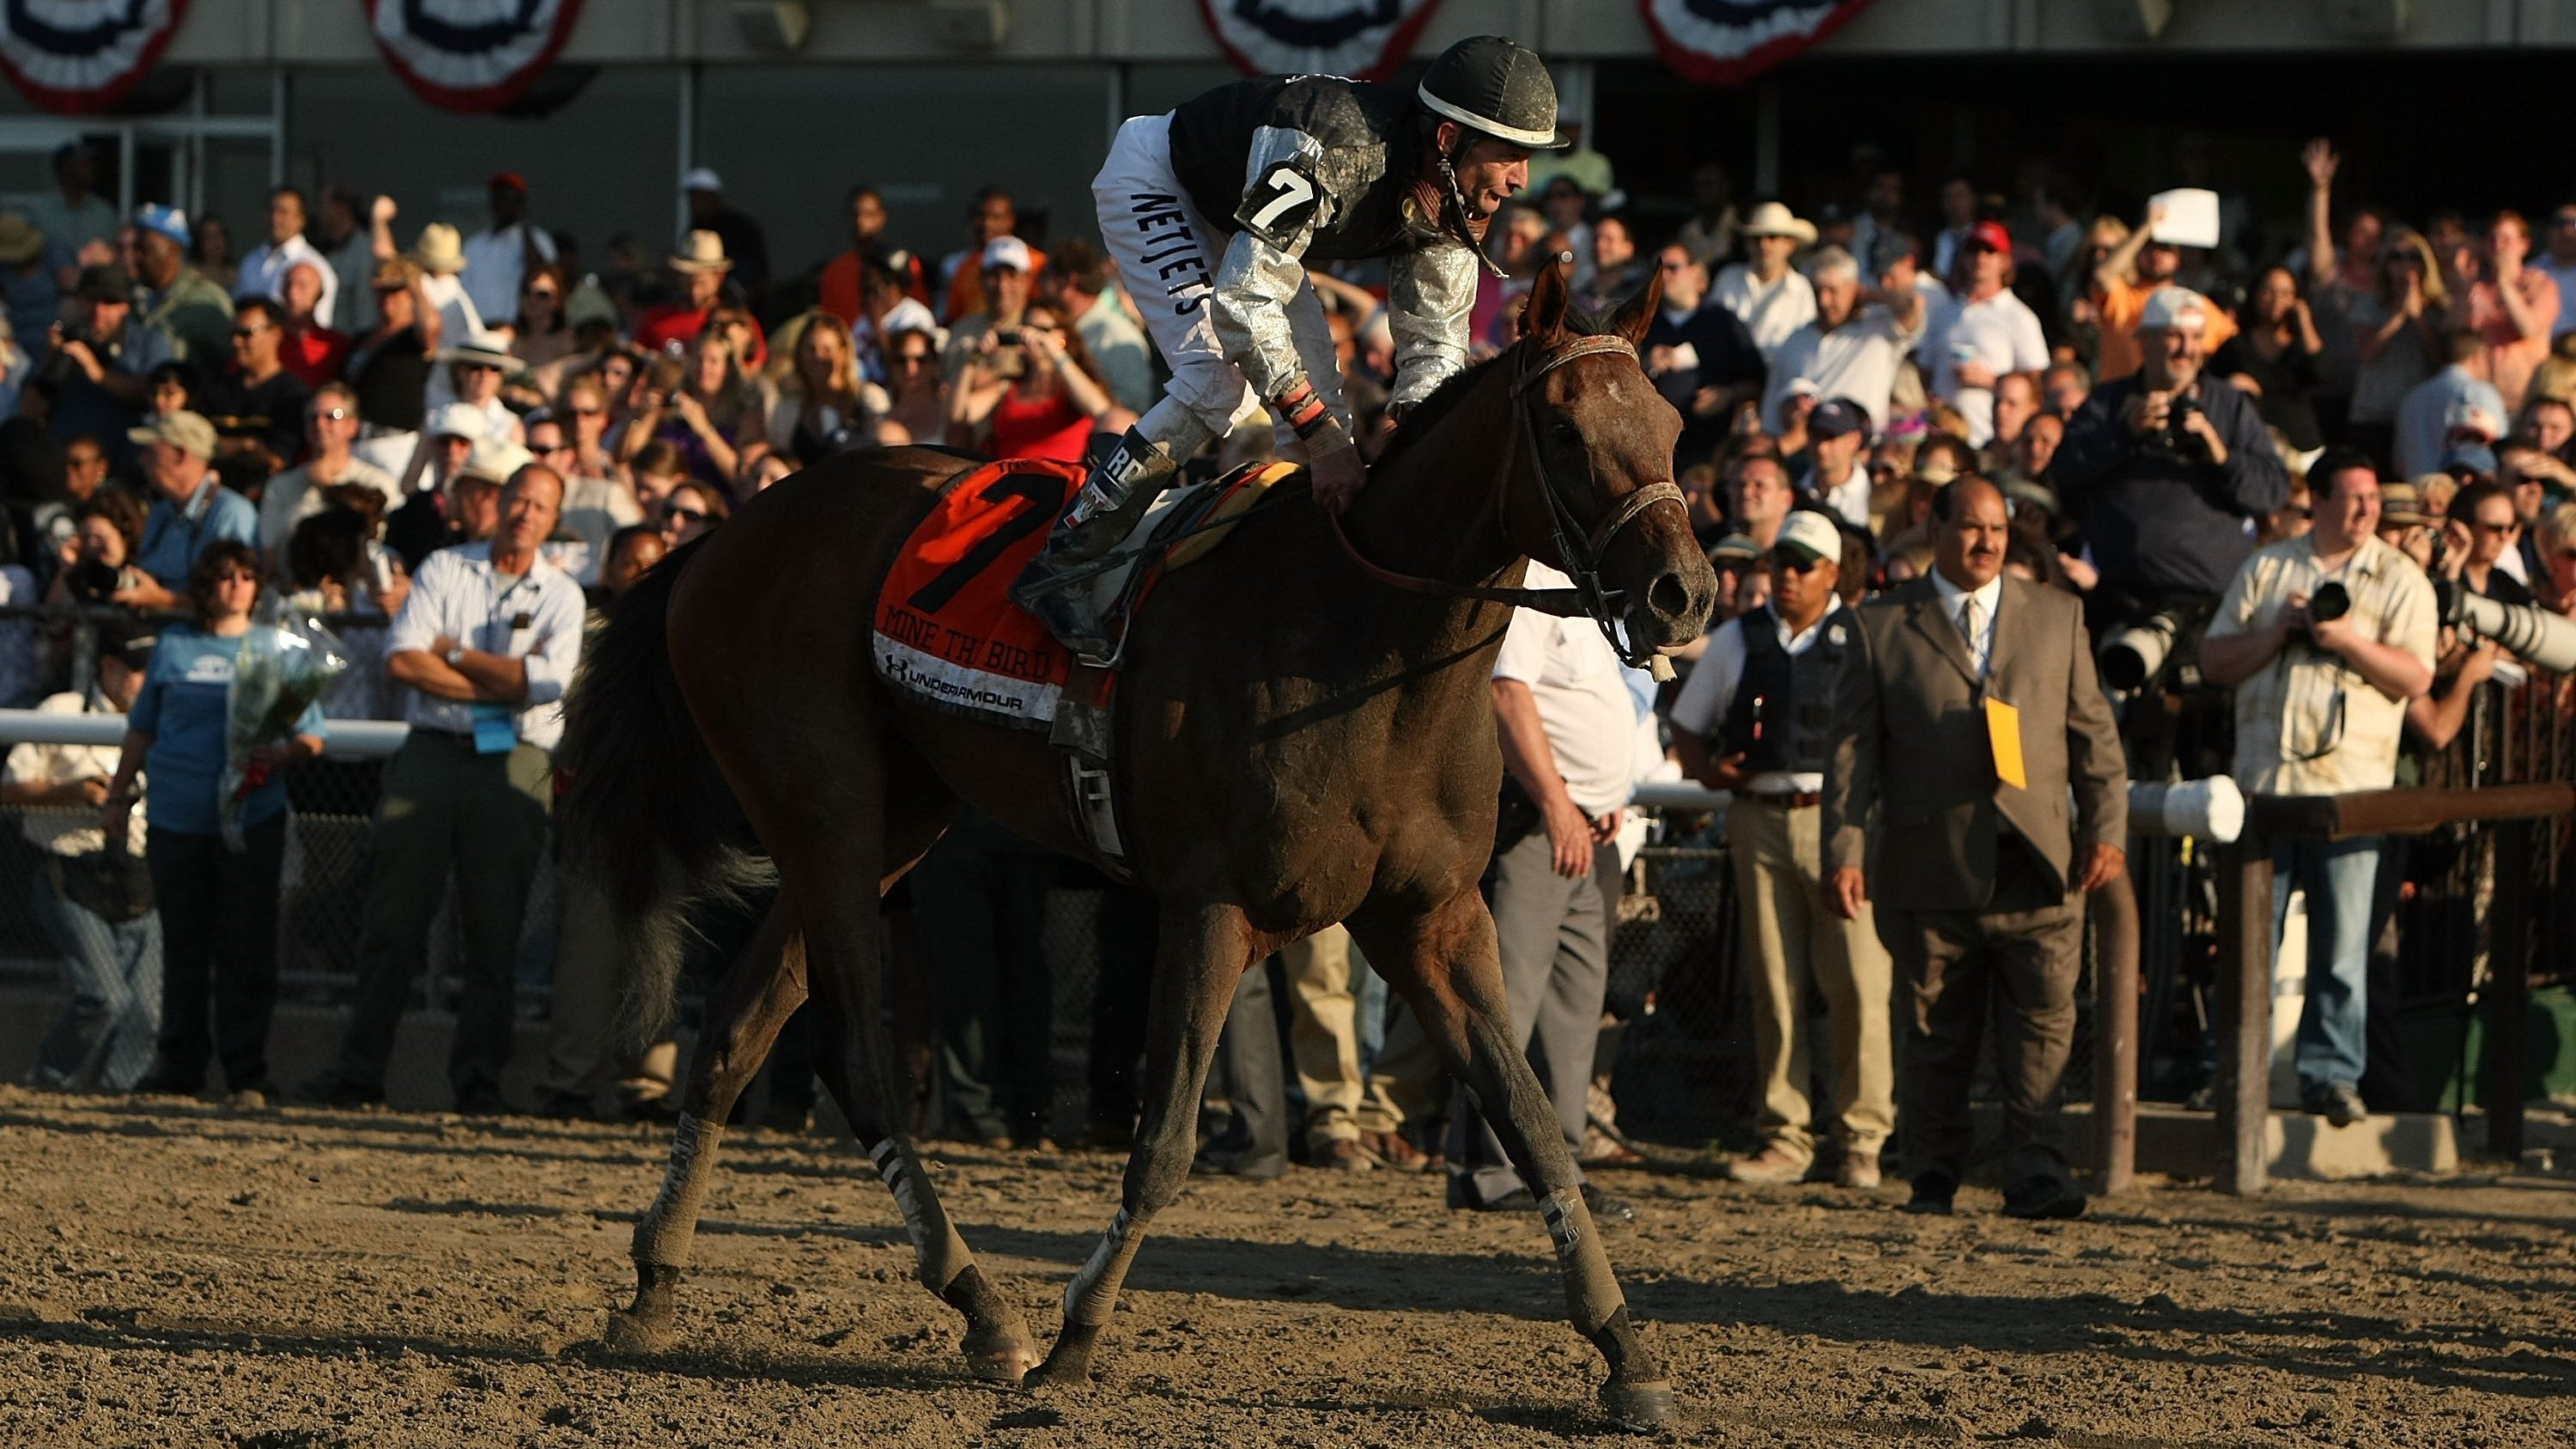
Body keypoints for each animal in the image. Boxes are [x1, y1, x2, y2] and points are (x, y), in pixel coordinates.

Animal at [556, 259, 1721, 1422]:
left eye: (1670, 423)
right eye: (1564, 430)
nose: (1684, 593)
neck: (1363, 644)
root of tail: (723, 535)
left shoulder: (1431, 916)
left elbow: (1532, 1119)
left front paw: (1628, 1353)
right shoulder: (1213, 907)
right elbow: (1163, 1140)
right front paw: (1076, 1339)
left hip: (889, 821)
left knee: (733, 1032)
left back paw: (657, 1284)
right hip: (825, 809)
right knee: (853, 1057)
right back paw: (986, 1306)